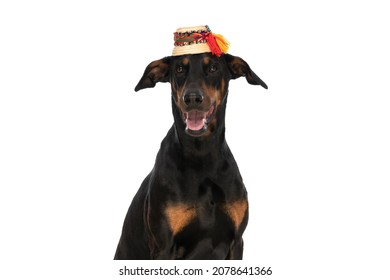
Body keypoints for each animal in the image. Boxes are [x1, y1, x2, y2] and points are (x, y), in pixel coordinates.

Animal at [114, 26, 266, 260]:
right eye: (179, 69)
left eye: (213, 68)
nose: (192, 98)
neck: (202, 156)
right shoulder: (163, 246)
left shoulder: (236, 242)